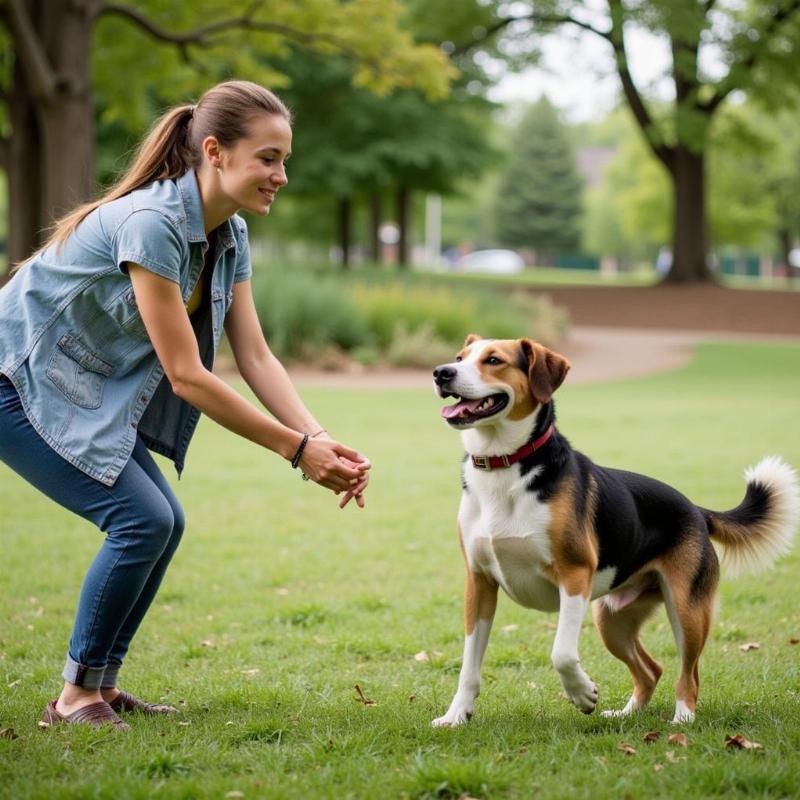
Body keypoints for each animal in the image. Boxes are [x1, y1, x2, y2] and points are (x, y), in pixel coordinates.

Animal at [434, 332, 796, 724]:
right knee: (651, 670)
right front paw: (456, 715)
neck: (505, 467)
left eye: (494, 360)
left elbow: (562, 653)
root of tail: (696, 510)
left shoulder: (575, 573)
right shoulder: (479, 582)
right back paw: (626, 715)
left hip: (686, 611)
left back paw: (682, 720)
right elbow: (469, 665)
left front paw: (582, 694)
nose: (441, 372)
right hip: (611, 619)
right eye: (460, 357)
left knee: (690, 674)